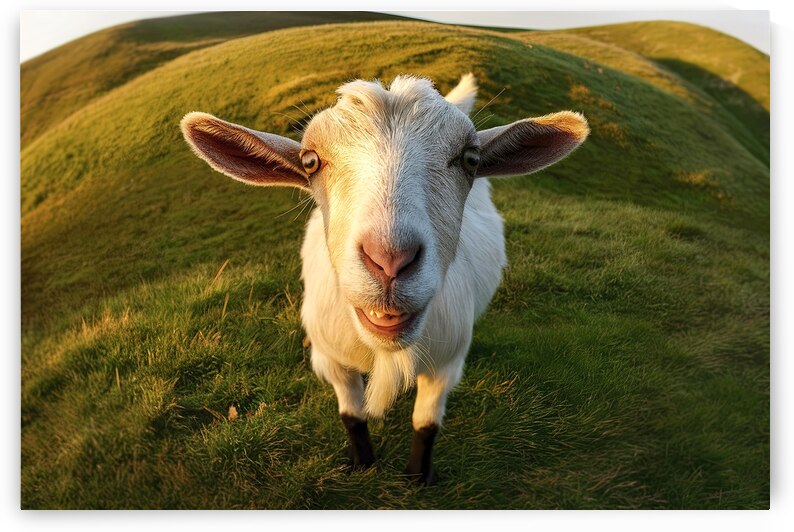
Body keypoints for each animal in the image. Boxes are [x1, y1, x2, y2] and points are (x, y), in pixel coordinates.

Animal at [181, 74, 588, 484]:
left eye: (470, 160)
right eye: (310, 162)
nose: (390, 259)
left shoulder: (445, 363)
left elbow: (426, 424)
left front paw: (417, 478)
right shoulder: (330, 359)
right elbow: (351, 415)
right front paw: (363, 462)